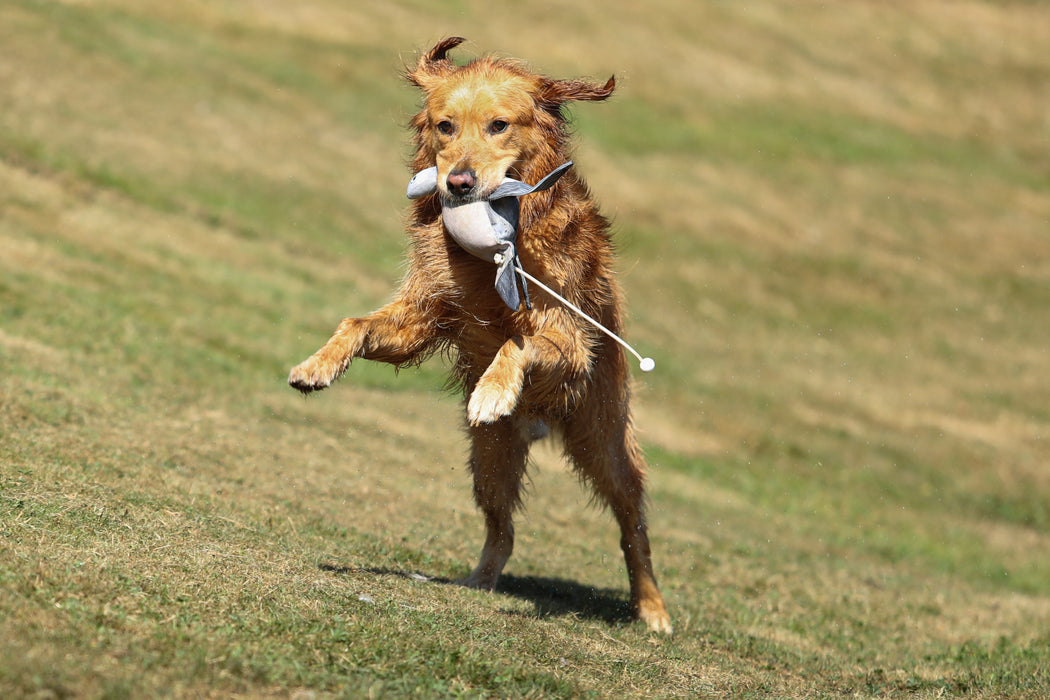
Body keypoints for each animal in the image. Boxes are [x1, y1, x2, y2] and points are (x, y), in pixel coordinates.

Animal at [289, 36, 672, 633]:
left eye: (499, 125)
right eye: (445, 126)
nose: (459, 183)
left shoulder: (568, 341)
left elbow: (519, 342)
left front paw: (492, 391)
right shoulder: (426, 313)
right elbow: (358, 324)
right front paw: (316, 366)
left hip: (601, 435)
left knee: (633, 525)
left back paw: (652, 609)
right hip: (490, 460)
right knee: (503, 529)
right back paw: (480, 582)